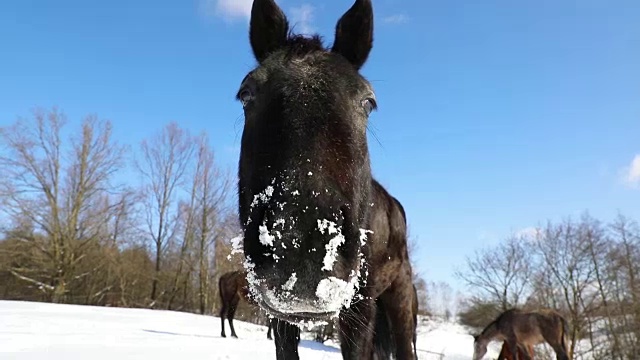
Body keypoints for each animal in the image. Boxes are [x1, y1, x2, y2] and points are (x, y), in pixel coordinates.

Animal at [235, 0, 416, 360]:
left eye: (368, 102)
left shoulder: (360, 307)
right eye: (246, 94)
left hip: (399, 298)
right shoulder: (281, 317)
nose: (303, 244)